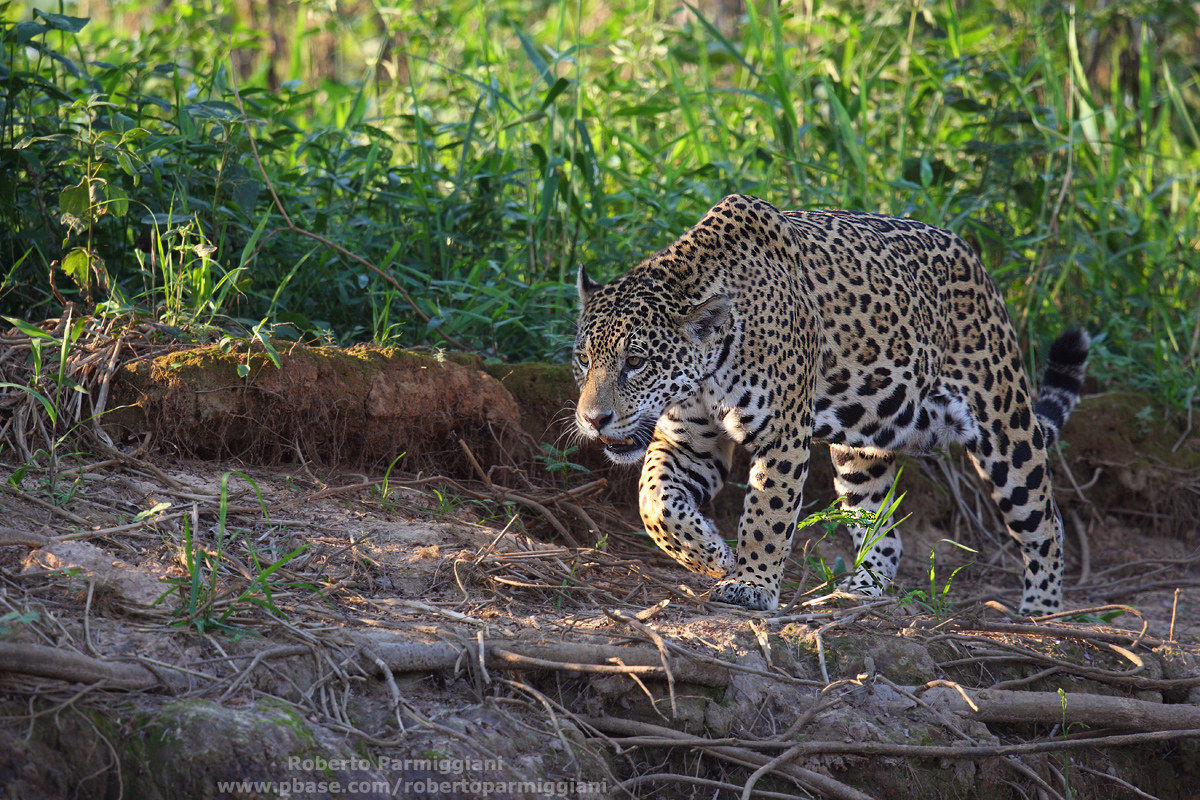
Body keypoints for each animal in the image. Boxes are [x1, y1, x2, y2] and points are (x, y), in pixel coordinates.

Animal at [571, 194, 1089, 614]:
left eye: (635, 362)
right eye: (583, 359)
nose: (593, 419)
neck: (708, 371)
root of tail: (977, 262)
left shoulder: (781, 436)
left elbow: (766, 515)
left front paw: (751, 586)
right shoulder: (690, 443)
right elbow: (654, 503)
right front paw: (713, 555)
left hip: (1003, 423)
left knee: (1046, 521)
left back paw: (1042, 611)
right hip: (862, 446)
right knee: (886, 532)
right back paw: (859, 590)